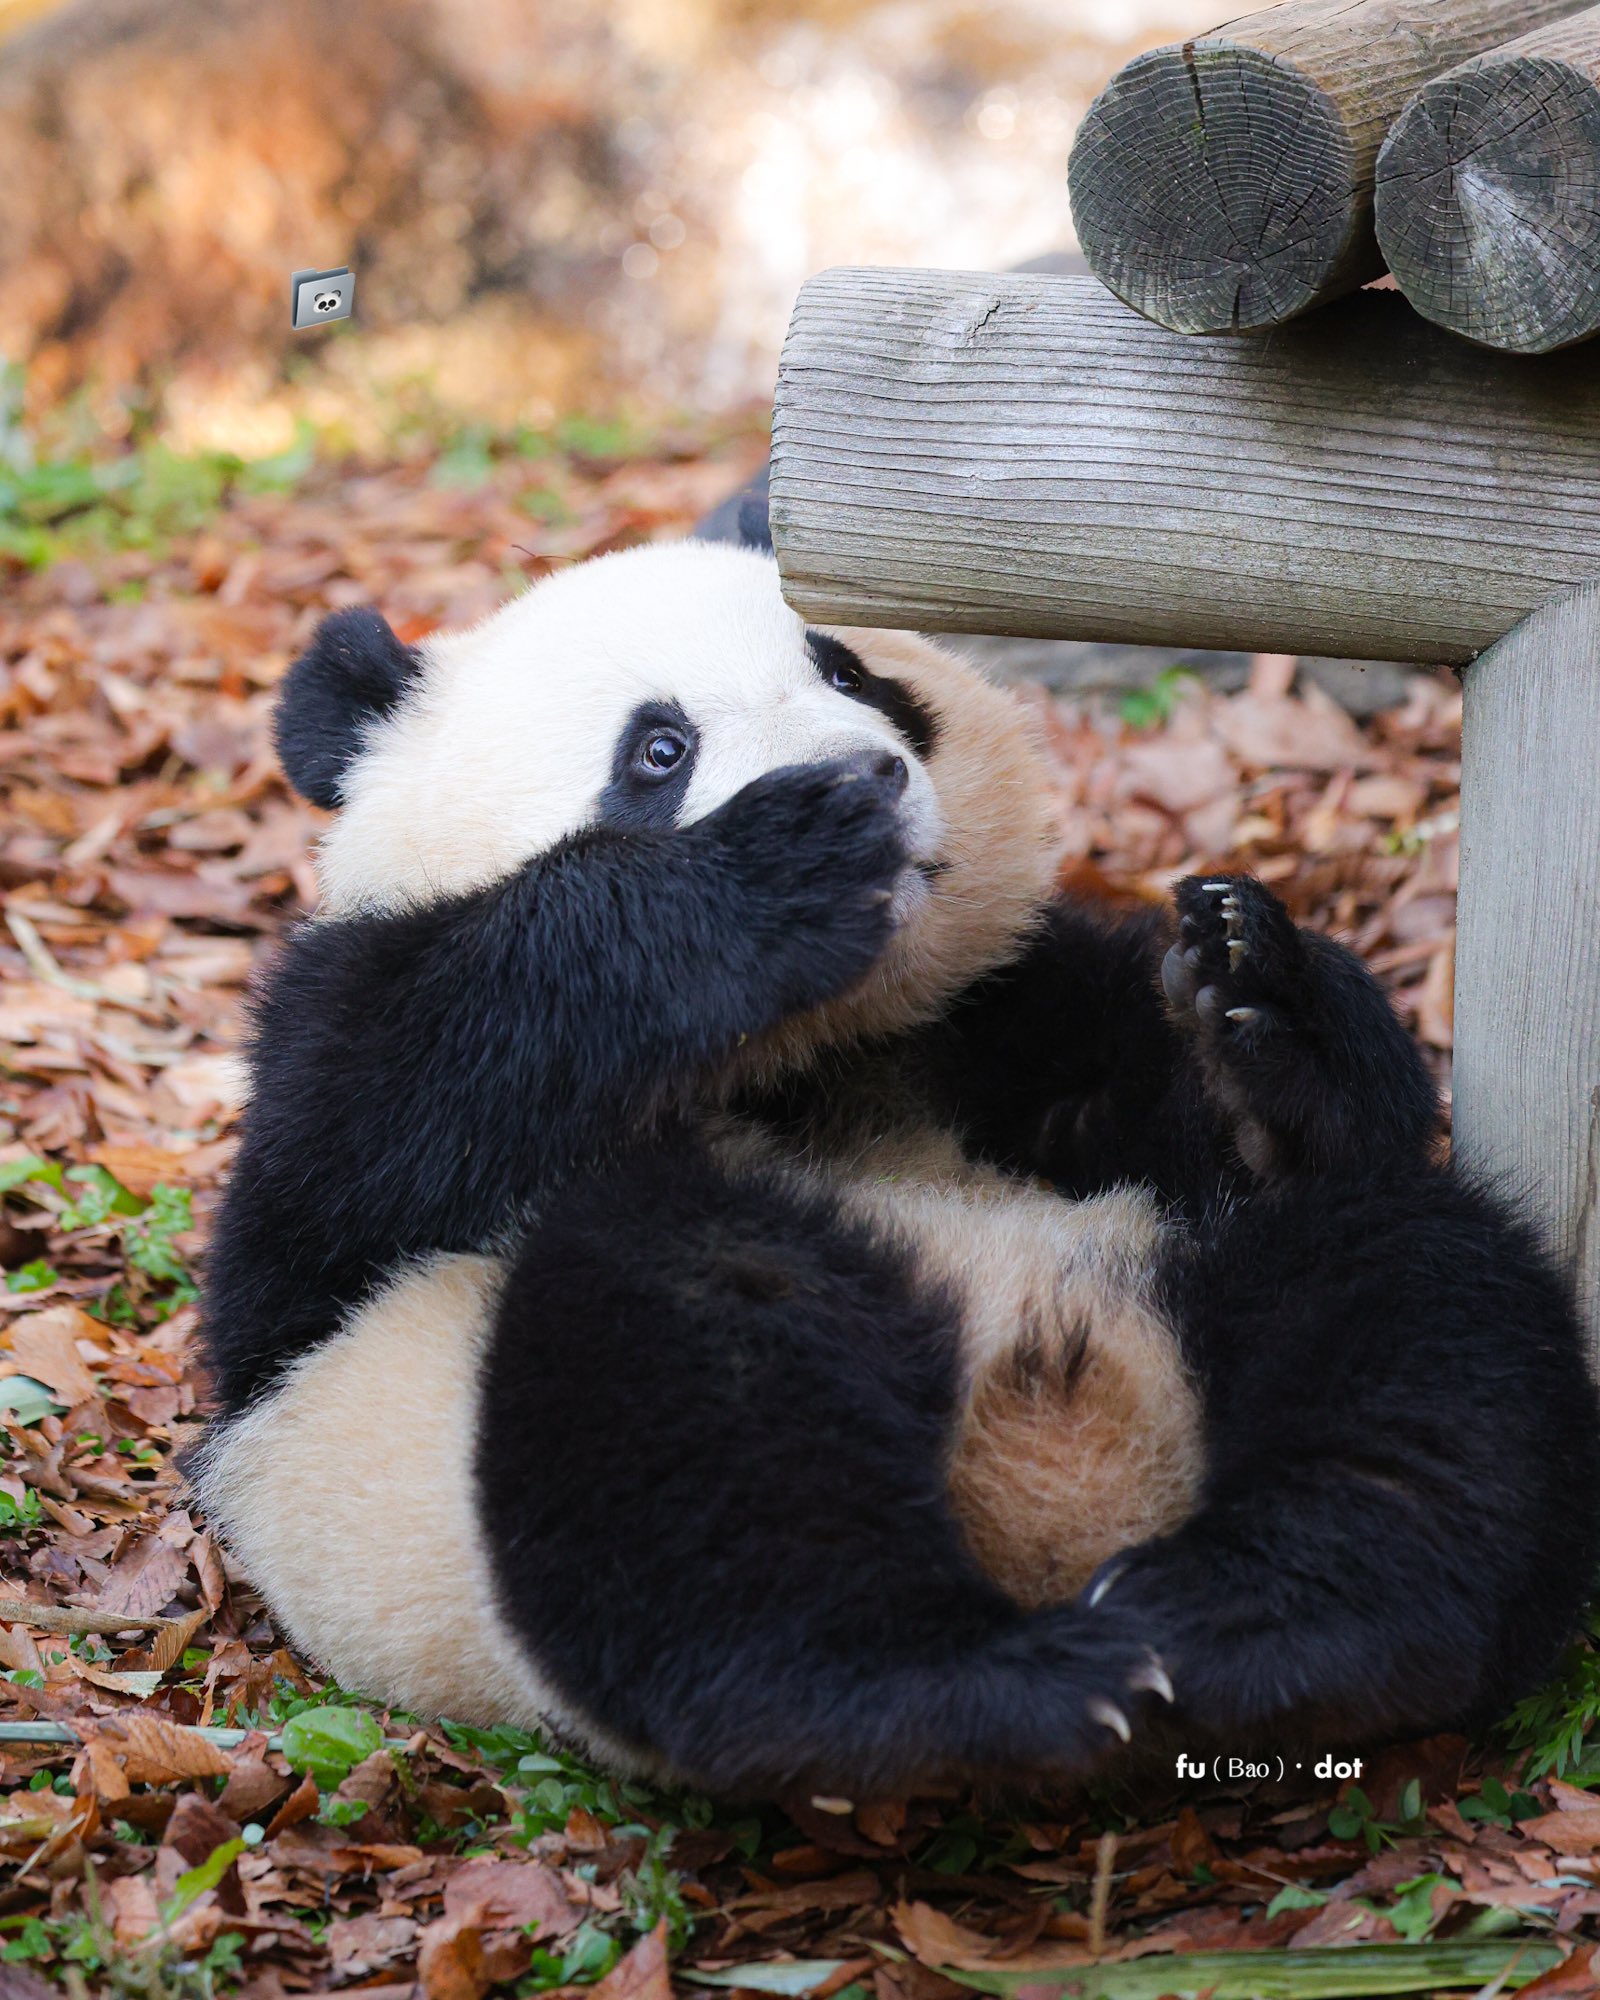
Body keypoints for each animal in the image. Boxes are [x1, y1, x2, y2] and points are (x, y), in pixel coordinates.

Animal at [197, 536, 1600, 1800]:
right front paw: (768, 869)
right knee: (689, 1390)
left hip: (1188, 1255)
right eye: (658, 749)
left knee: (1413, 1304)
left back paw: (1264, 1627)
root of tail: (1073, 1498)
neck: (808, 1046)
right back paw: (962, 1691)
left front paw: (1256, 991)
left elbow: (1279, 1114)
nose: (862, 771)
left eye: (847, 666)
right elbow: (372, 1128)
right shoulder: (321, 1145)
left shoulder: (994, 1014)